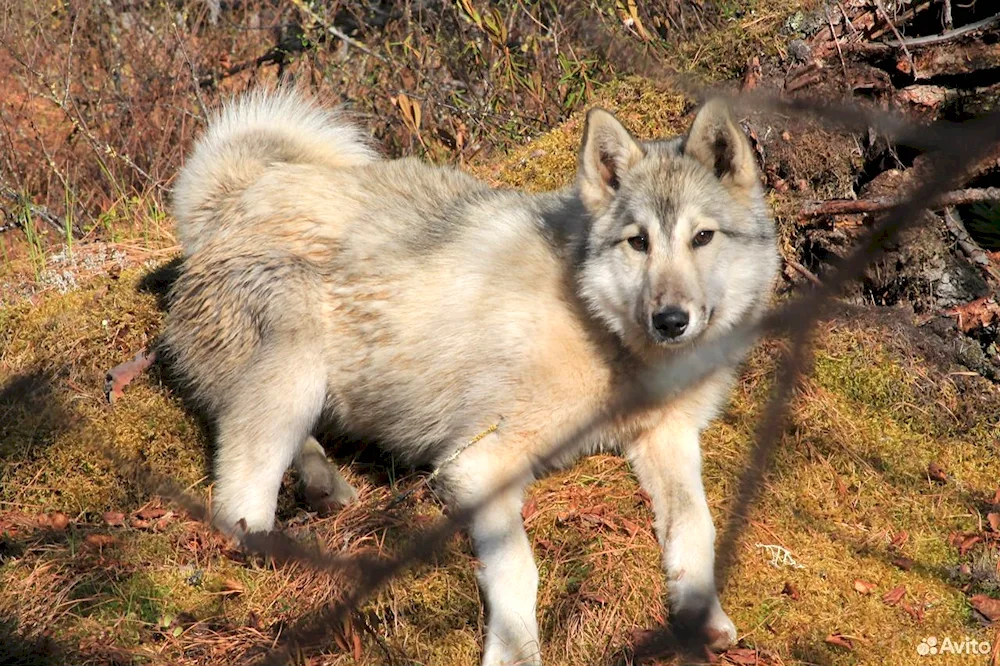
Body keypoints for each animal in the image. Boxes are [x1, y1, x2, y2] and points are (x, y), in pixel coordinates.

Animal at [160, 89, 776, 664]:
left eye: (703, 237)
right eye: (639, 241)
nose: (671, 321)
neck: (600, 328)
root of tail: (235, 196)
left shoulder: (669, 438)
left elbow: (697, 525)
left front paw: (704, 618)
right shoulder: (477, 463)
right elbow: (520, 566)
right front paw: (516, 652)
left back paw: (323, 485)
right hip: (295, 365)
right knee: (238, 502)